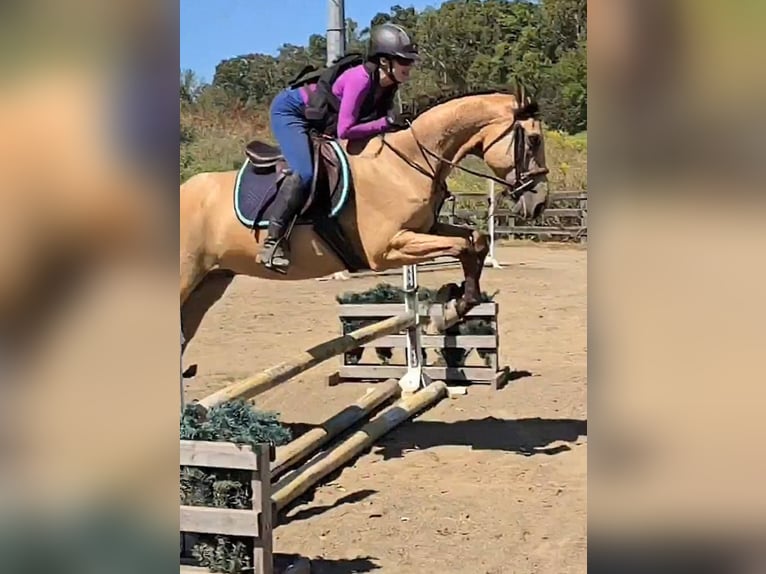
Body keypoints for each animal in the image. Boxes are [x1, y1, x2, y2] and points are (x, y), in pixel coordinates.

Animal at [180, 86, 549, 352]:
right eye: (533, 139)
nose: (540, 203)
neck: (406, 162)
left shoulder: (424, 229)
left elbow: (475, 240)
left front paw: (453, 304)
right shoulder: (386, 249)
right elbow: (461, 246)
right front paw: (445, 307)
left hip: (210, 282)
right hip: (187, 278)